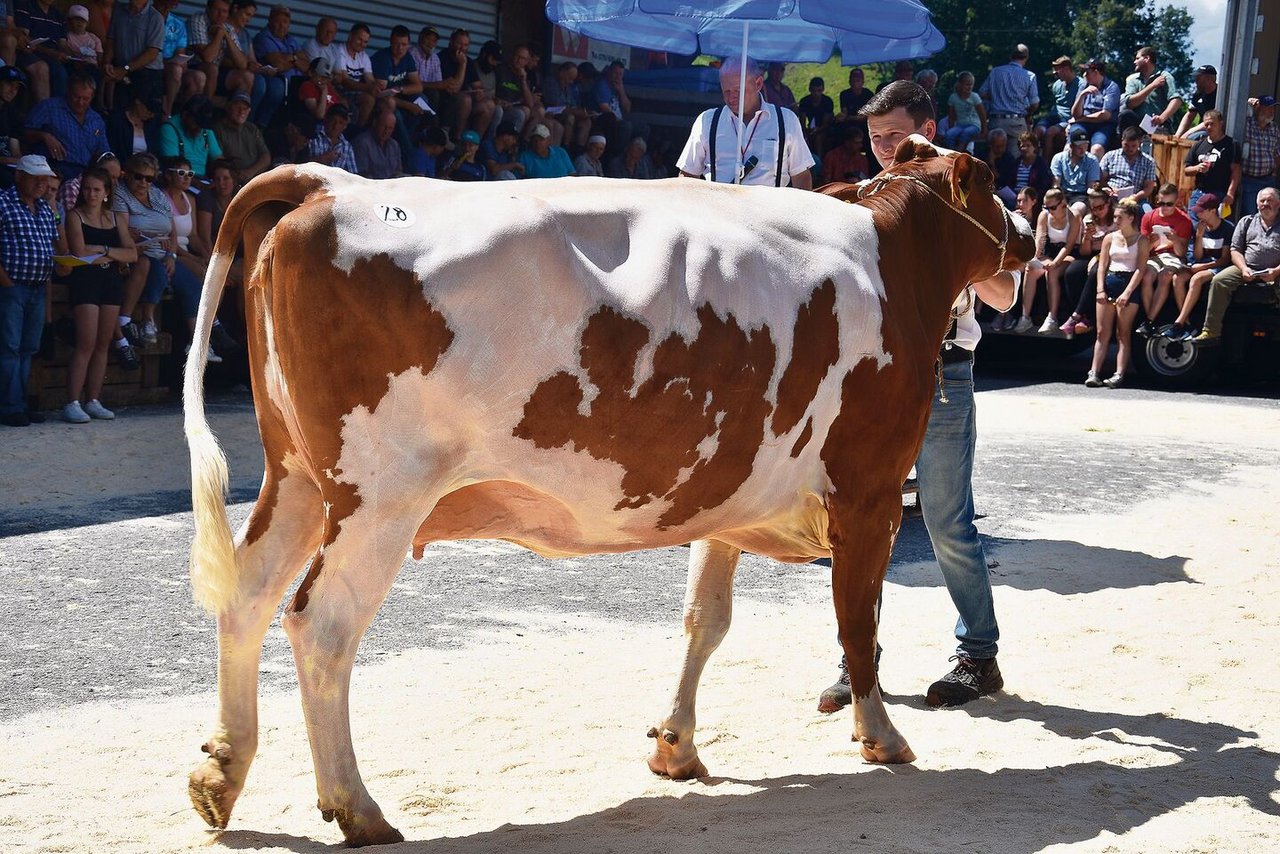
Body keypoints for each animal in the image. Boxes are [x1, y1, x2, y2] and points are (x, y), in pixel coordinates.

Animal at [185, 136, 1034, 845]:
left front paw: (675, 745)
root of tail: (335, 186)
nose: (1028, 232)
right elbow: (858, 623)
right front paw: (879, 734)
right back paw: (356, 808)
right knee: (321, 624)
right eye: (992, 178)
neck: (892, 259)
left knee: (247, 597)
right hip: (380, 496)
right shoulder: (871, 490)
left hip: (297, 478)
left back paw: (220, 775)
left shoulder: (723, 496)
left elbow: (704, 622)